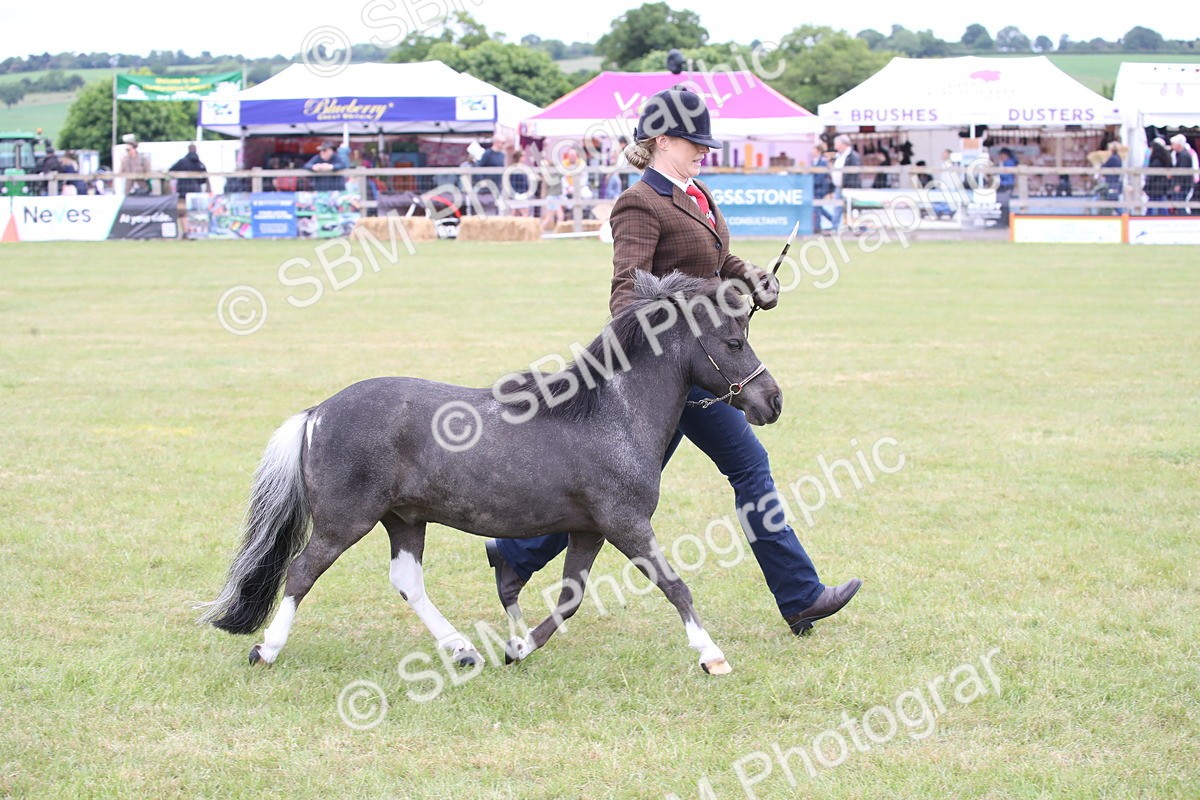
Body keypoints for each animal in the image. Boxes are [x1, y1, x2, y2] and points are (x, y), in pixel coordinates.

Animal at [198, 270, 783, 675]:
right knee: (301, 573)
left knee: (406, 581)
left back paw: (462, 651)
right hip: (347, 520)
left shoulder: (589, 530)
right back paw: (266, 650)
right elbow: (675, 585)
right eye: (733, 342)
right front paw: (711, 656)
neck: (609, 412)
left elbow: (570, 598)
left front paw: (518, 646)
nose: (772, 401)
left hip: (404, 518)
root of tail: (317, 412)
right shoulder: (627, 525)